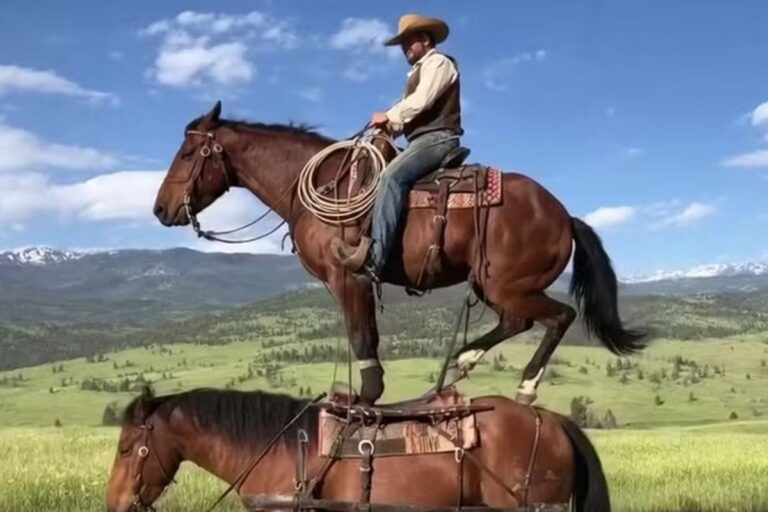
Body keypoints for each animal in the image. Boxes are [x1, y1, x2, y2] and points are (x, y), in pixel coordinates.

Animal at [153, 101, 645, 405]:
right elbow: (365, 334)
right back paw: (465, 359)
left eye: (188, 152)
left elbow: (361, 336)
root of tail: (563, 214)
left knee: (558, 316)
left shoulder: (348, 276)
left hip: (509, 284)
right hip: (493, 284)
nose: (160, 208)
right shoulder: (355, 283)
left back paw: (524, 385)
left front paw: (366, 395)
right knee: (517, 321)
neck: (318, 183)